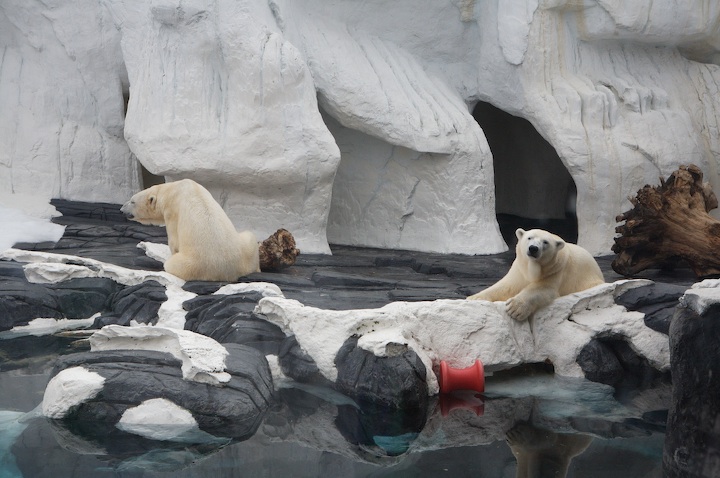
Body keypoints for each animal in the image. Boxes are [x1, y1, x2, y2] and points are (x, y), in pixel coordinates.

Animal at [120, 179, 260, 282]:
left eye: (132, 201)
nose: (121, 209)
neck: (173, 188)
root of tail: (228, 270)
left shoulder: (172, 211)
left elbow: (174, 240)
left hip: (192, 265)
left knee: (172, 265)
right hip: (245, 249)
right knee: (250, 237)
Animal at [467, 228, 604, 321]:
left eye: (545, 242)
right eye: (529, 238)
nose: (533, 248)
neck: (533, 268)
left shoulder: (555, 270)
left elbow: (542, 289)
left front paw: (514, 308)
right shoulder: (520, 269)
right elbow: (506, 286)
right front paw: (475, 298)